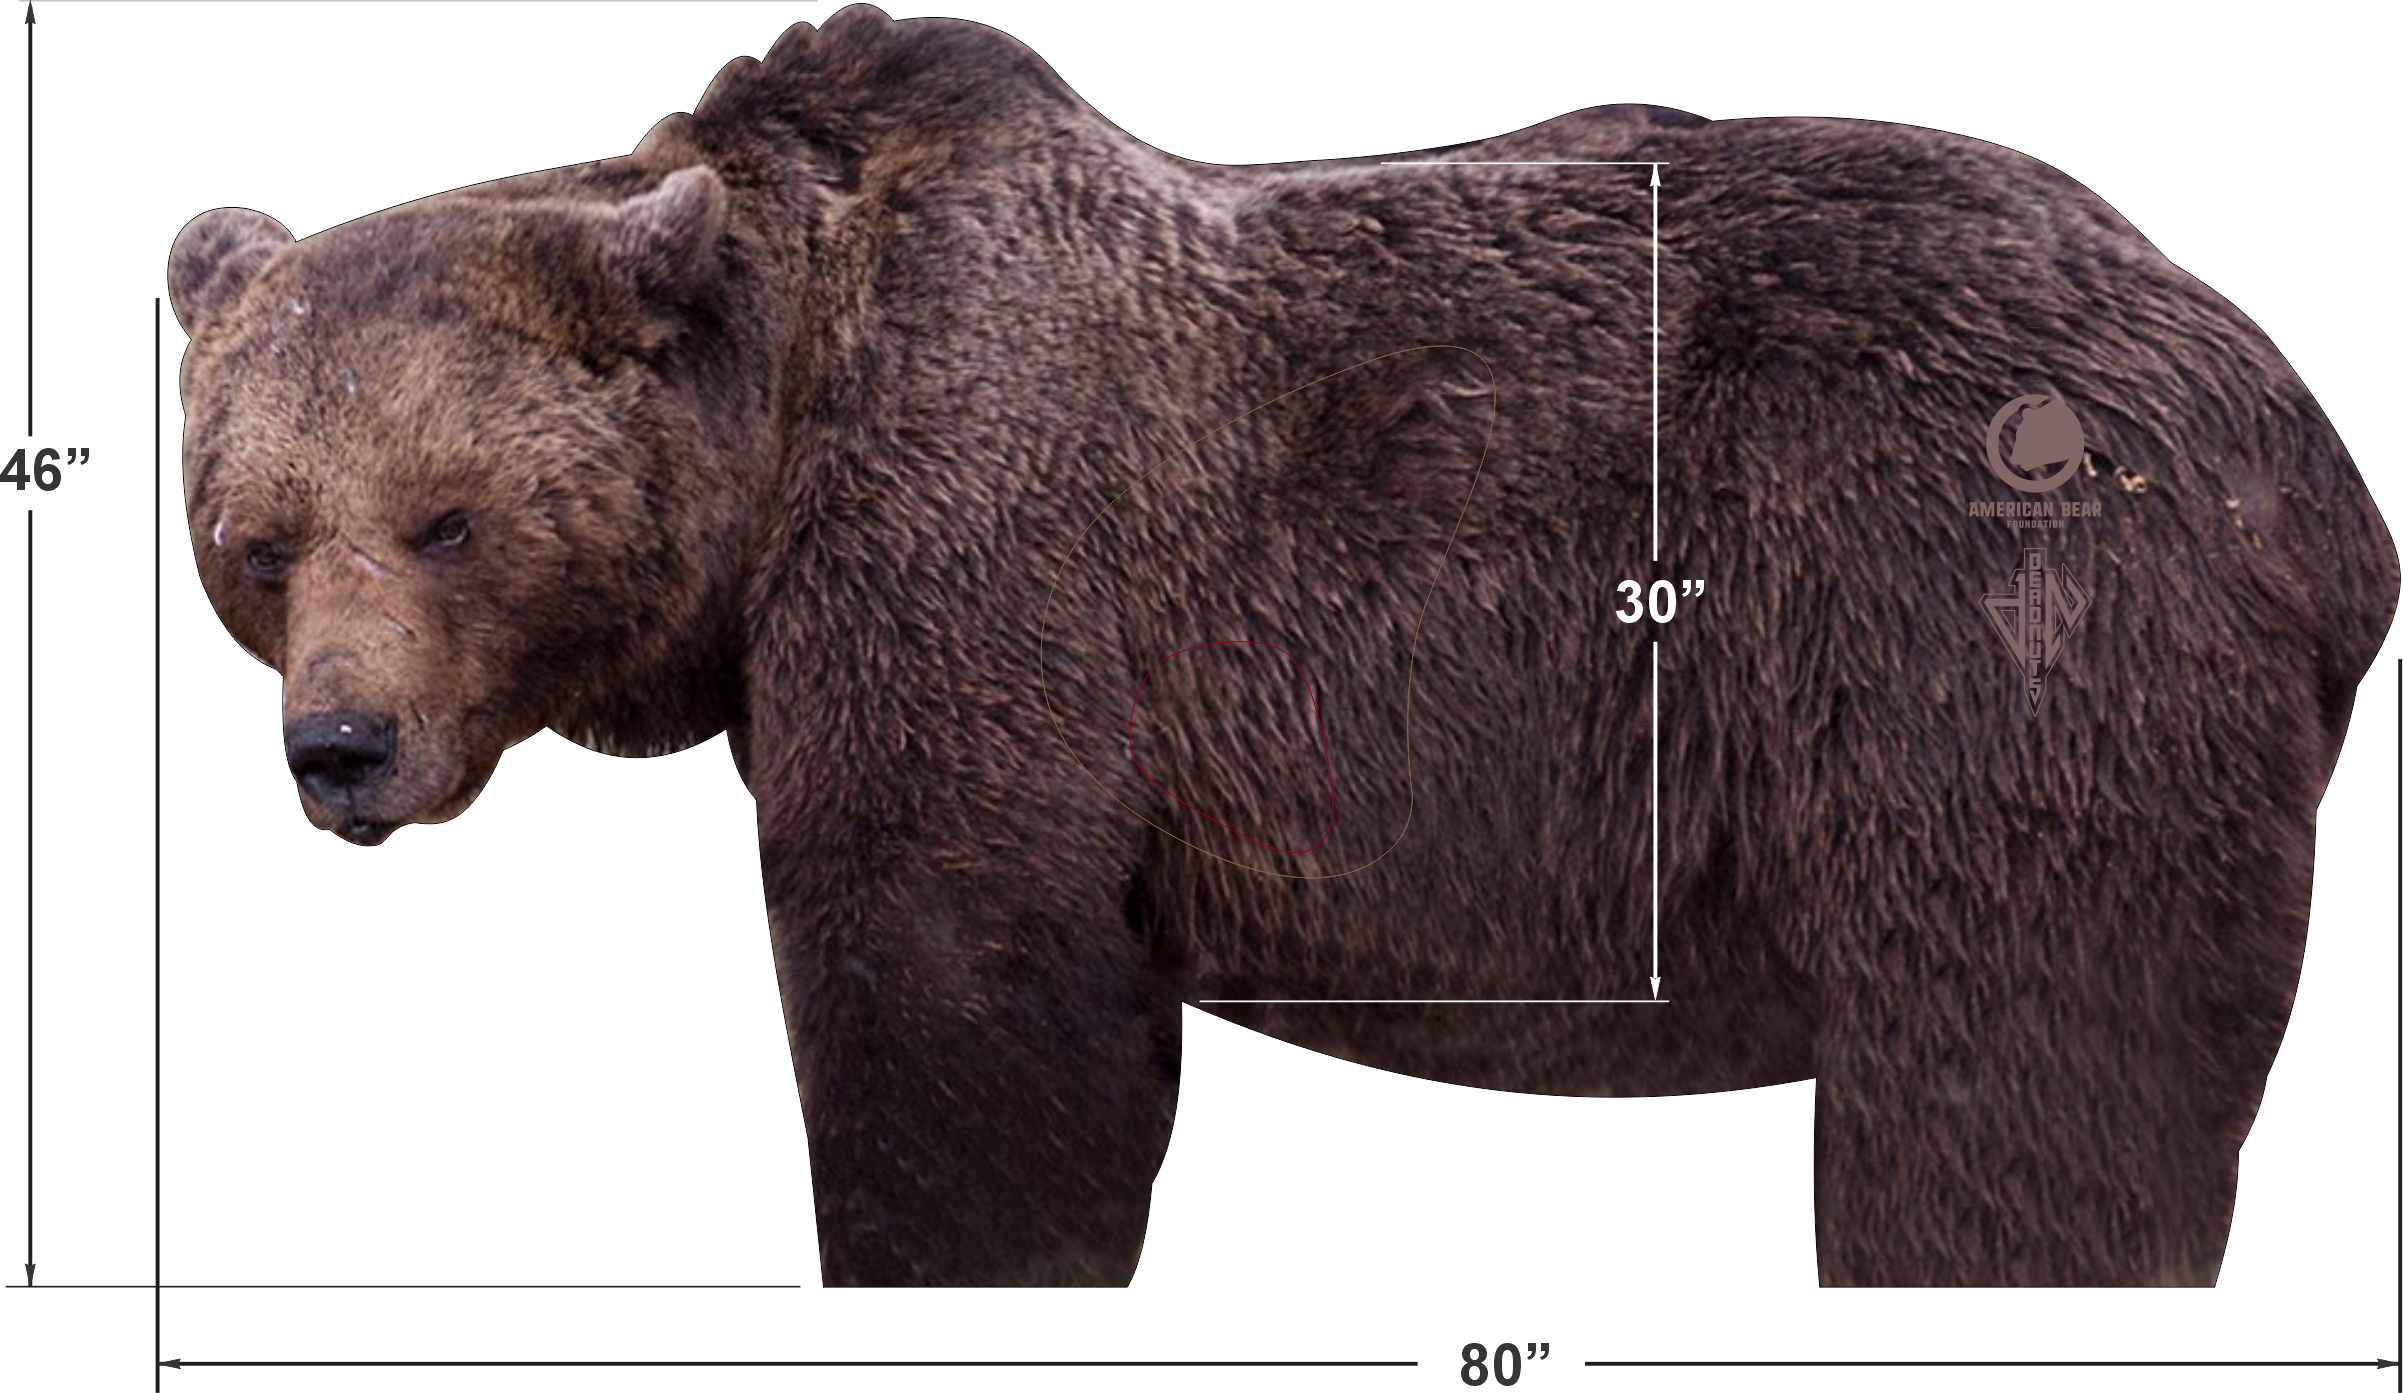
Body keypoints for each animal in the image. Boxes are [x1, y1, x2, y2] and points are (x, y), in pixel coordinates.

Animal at [166, 4, 2397, 1287]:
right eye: (254, 542)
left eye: (447, 517)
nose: (341, 748)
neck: (781, 412)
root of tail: (2309, 449)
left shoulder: (982, 584)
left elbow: (965, 1030)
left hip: (1978, 639)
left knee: (2006, 1096)